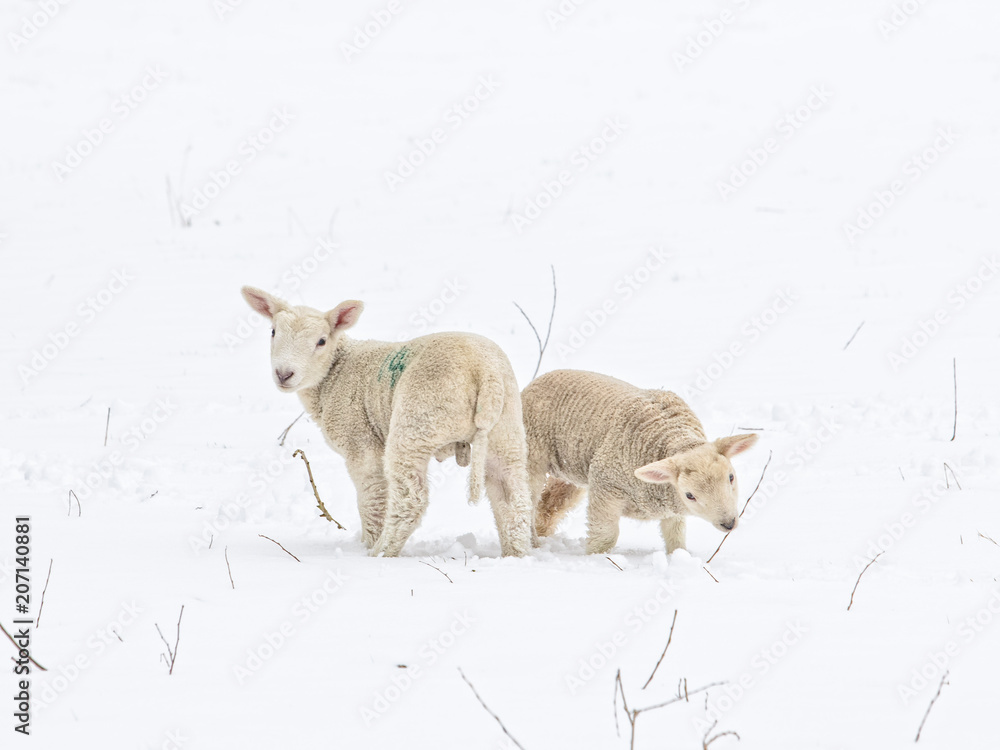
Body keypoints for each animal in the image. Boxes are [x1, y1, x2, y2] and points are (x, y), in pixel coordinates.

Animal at [240, 286, 533, 558]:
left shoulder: (360, 440)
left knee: (409, 499)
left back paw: (381, 552)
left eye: (321, 341)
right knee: (513, 497)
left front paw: (367, 542)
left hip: (418, 421)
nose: (284, 374)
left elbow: (372, 498)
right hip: (505, 428)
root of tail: (484, 372)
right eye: (273, 332)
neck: (335, 372)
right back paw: (514, 554)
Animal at [521, 369, 758, 555]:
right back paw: (533, 543)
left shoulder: (671, 506)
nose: (729, 523)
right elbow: (605, 536)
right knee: (529, 501)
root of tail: (535, 382)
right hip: (532, 454)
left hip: (573, 467)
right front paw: (596, 557)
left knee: (551, 503)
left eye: (731, 478)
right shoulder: (606, 483)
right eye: (690, 495)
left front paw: (679, 558)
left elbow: (675, 537)